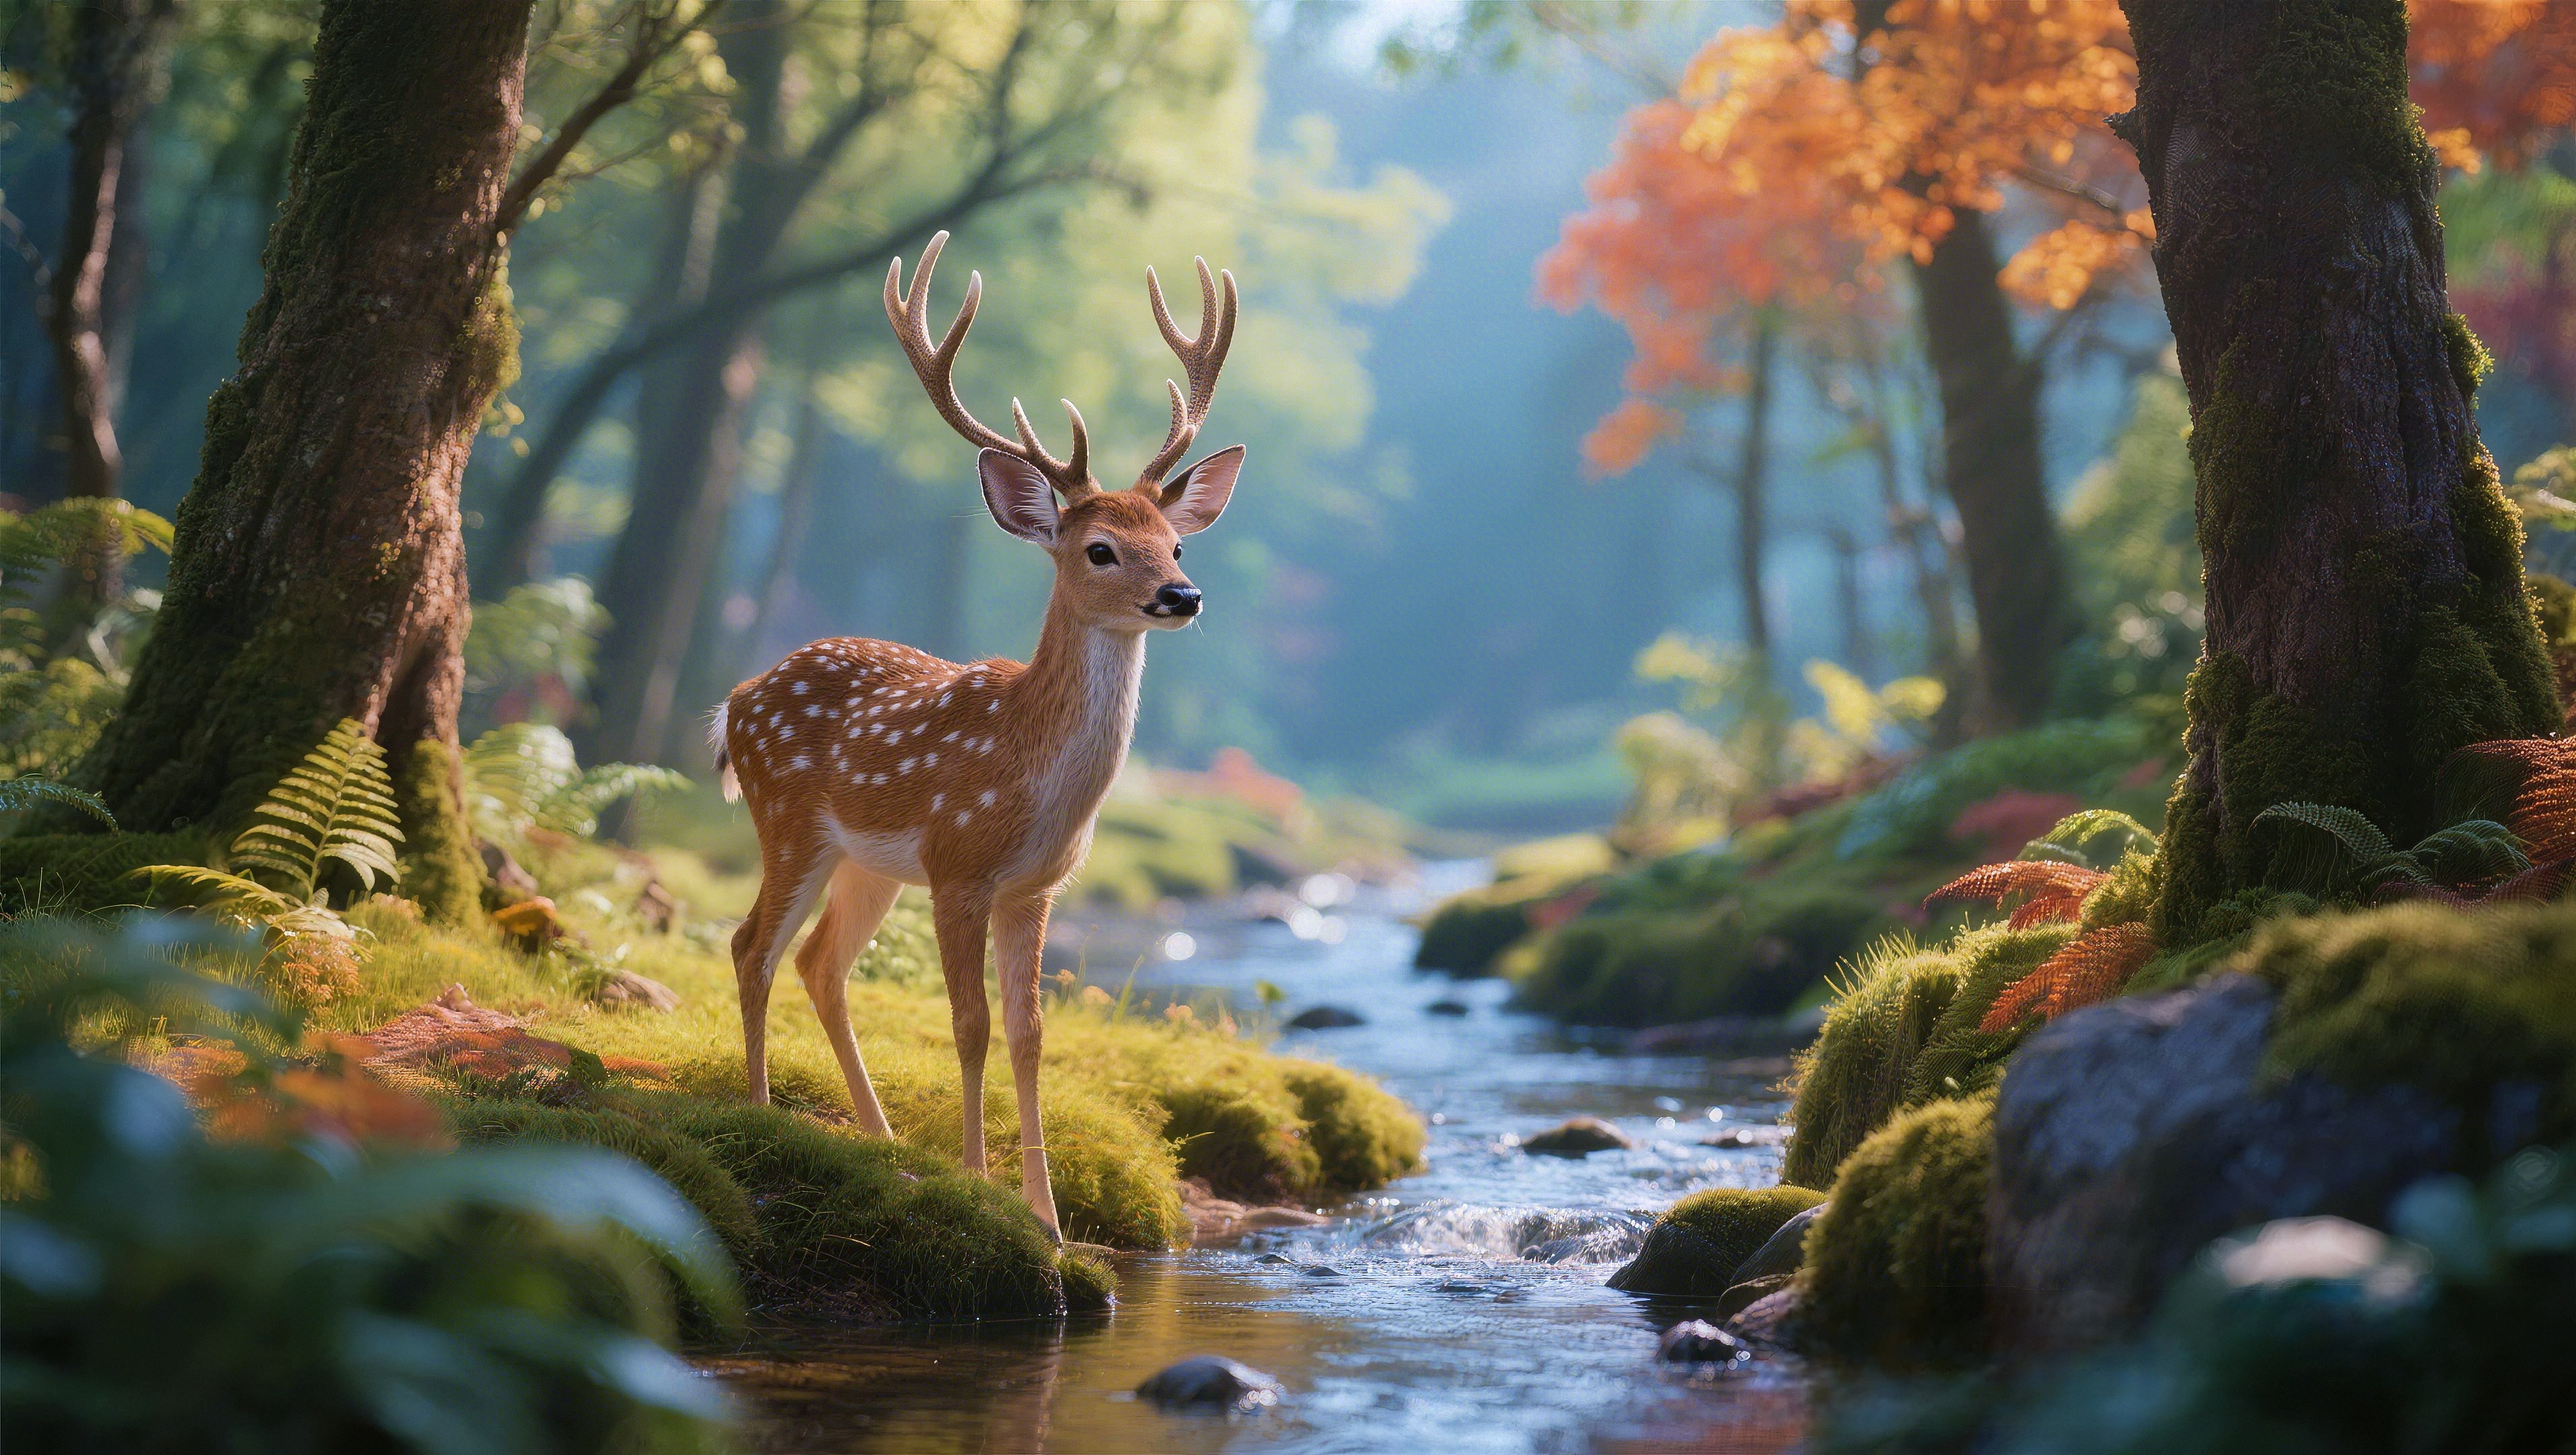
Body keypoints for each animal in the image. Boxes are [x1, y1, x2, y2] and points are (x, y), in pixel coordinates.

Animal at [708, 230, 1242, 1239]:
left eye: (1177, 543)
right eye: (1099, 549)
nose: (1183, 596)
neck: (1031, 786)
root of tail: (736, 701)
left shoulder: (1034, 888)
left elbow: (1031, 1034)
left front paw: (1049, 1217)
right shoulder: (959, 868)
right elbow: (971, 1026)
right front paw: (977, 1185)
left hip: (869, 863)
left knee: (819, 963)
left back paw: (879, 1137)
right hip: (787, 818)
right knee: (751, 944)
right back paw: (759, 1113)